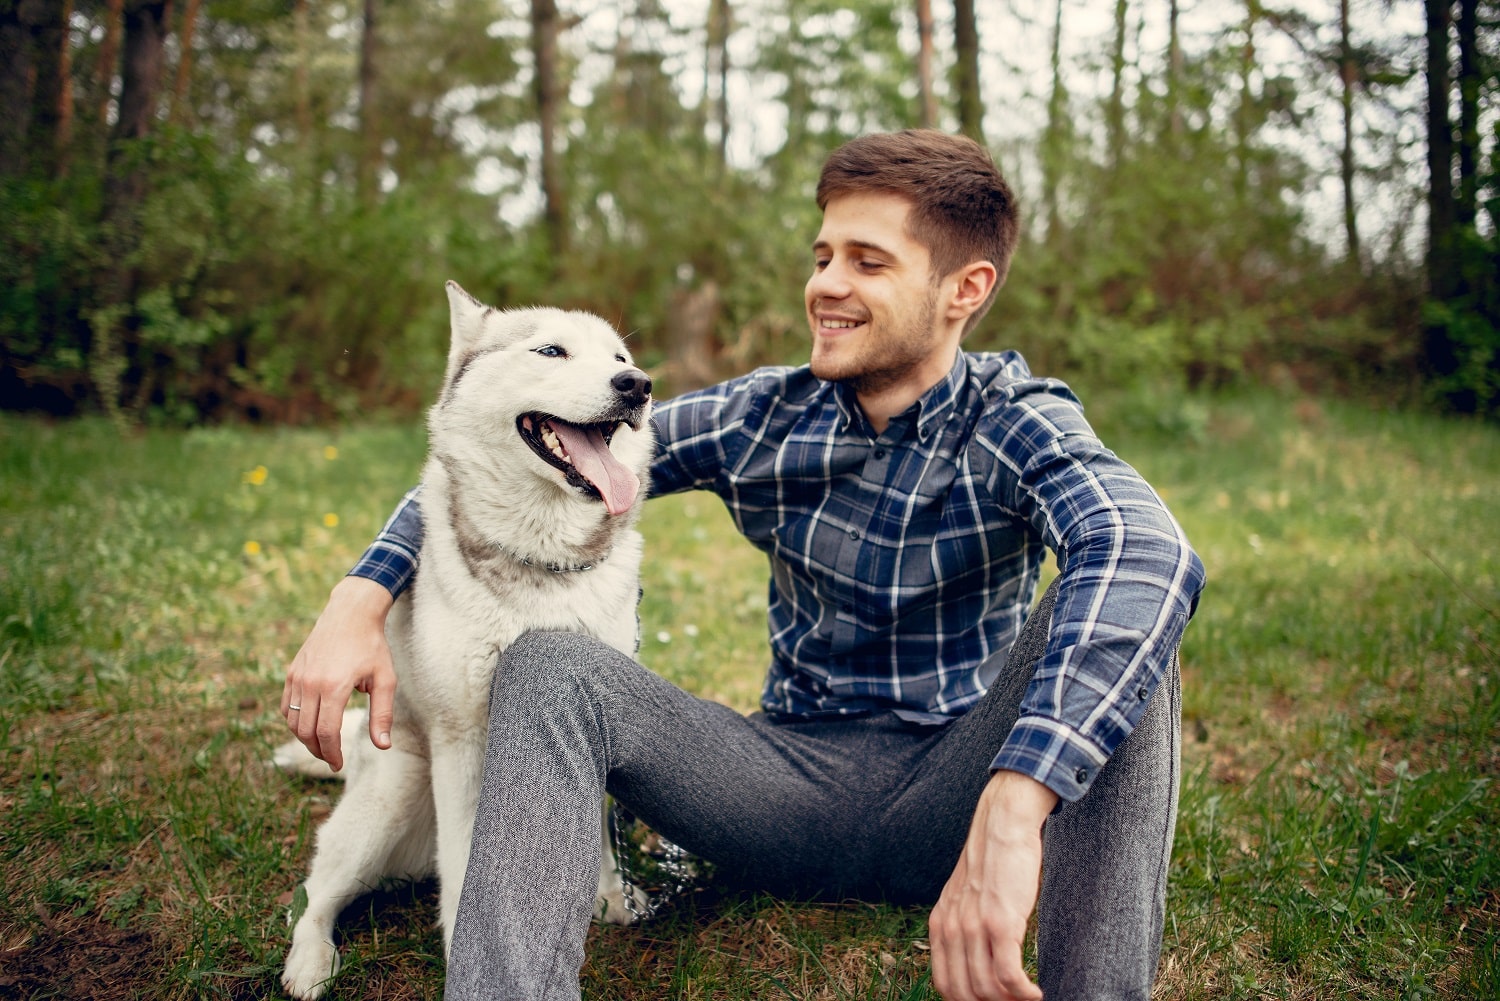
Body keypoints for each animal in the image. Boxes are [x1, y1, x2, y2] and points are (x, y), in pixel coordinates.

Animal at [279, 282, 654, 1001]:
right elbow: (465, 862)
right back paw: (308, 965)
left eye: (620, 358)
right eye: (552, 350)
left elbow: (595, 829)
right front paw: (464, 945)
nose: (638, 385)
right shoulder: (461, 739)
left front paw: (609, 895)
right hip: (394, 794)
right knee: (314, 895)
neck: (542, 565)